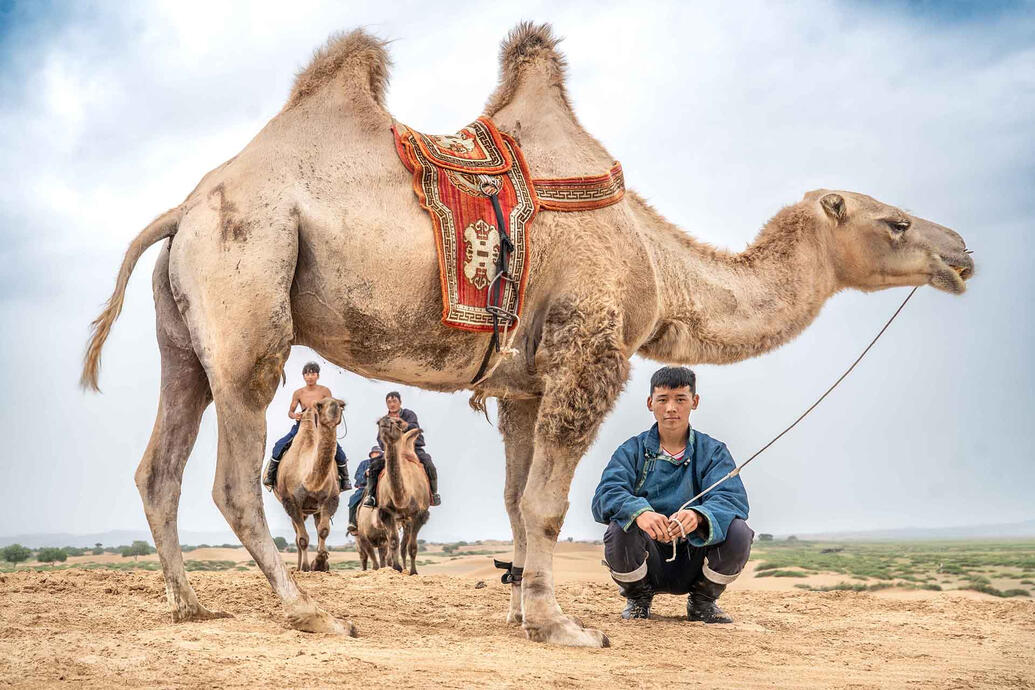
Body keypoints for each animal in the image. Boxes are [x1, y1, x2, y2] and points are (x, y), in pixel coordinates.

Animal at [273, 397, 345, 572]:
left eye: (342, 405)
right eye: (320, 405)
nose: (335, 407)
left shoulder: (330, 499)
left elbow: (323, 531)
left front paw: (320, 563)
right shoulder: (290, 502)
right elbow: (303, 539)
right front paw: (307, 566)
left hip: (314, 509)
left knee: (316, 527)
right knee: (297, 535)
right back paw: (300, 567)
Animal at [376, 417, 431, 575]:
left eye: (399, 422)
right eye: (378, 422)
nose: (385, 420)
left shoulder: (420, 514)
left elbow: (412, 547)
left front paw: (413, 572)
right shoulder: (386, 512)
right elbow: (394, 541)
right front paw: (396, 567)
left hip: (408, 520)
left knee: (405, 545)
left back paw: (407, 568)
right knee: (395, 542)